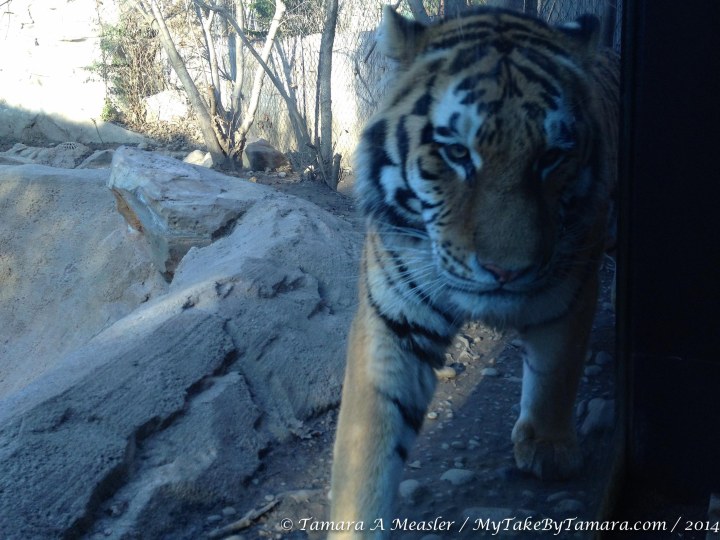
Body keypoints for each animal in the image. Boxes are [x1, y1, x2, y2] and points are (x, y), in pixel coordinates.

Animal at [329, 5, 619, 538]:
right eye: (457, 153)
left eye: (551, 157)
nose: (505, 270)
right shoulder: (393, 318)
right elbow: (367, 444)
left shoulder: (572, 282)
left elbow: (557, 365)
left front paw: (548, 445)